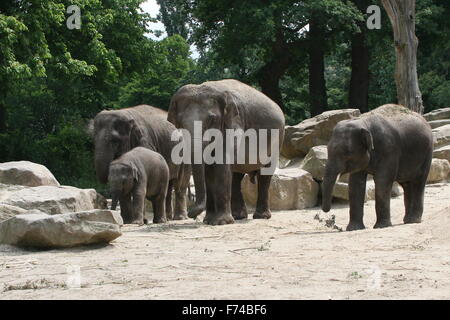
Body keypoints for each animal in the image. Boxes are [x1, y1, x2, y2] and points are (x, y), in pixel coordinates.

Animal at [167, 79, 284, 225]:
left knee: (265, 174)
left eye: (212, 119)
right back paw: (239, 216)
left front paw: (221, 222)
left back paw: (261, 216)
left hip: (277, 139)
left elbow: (221, 166)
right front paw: (208, 220)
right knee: (236, 176)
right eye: (180, 121)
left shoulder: (234, 123)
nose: (191, 214)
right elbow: (209, 170)